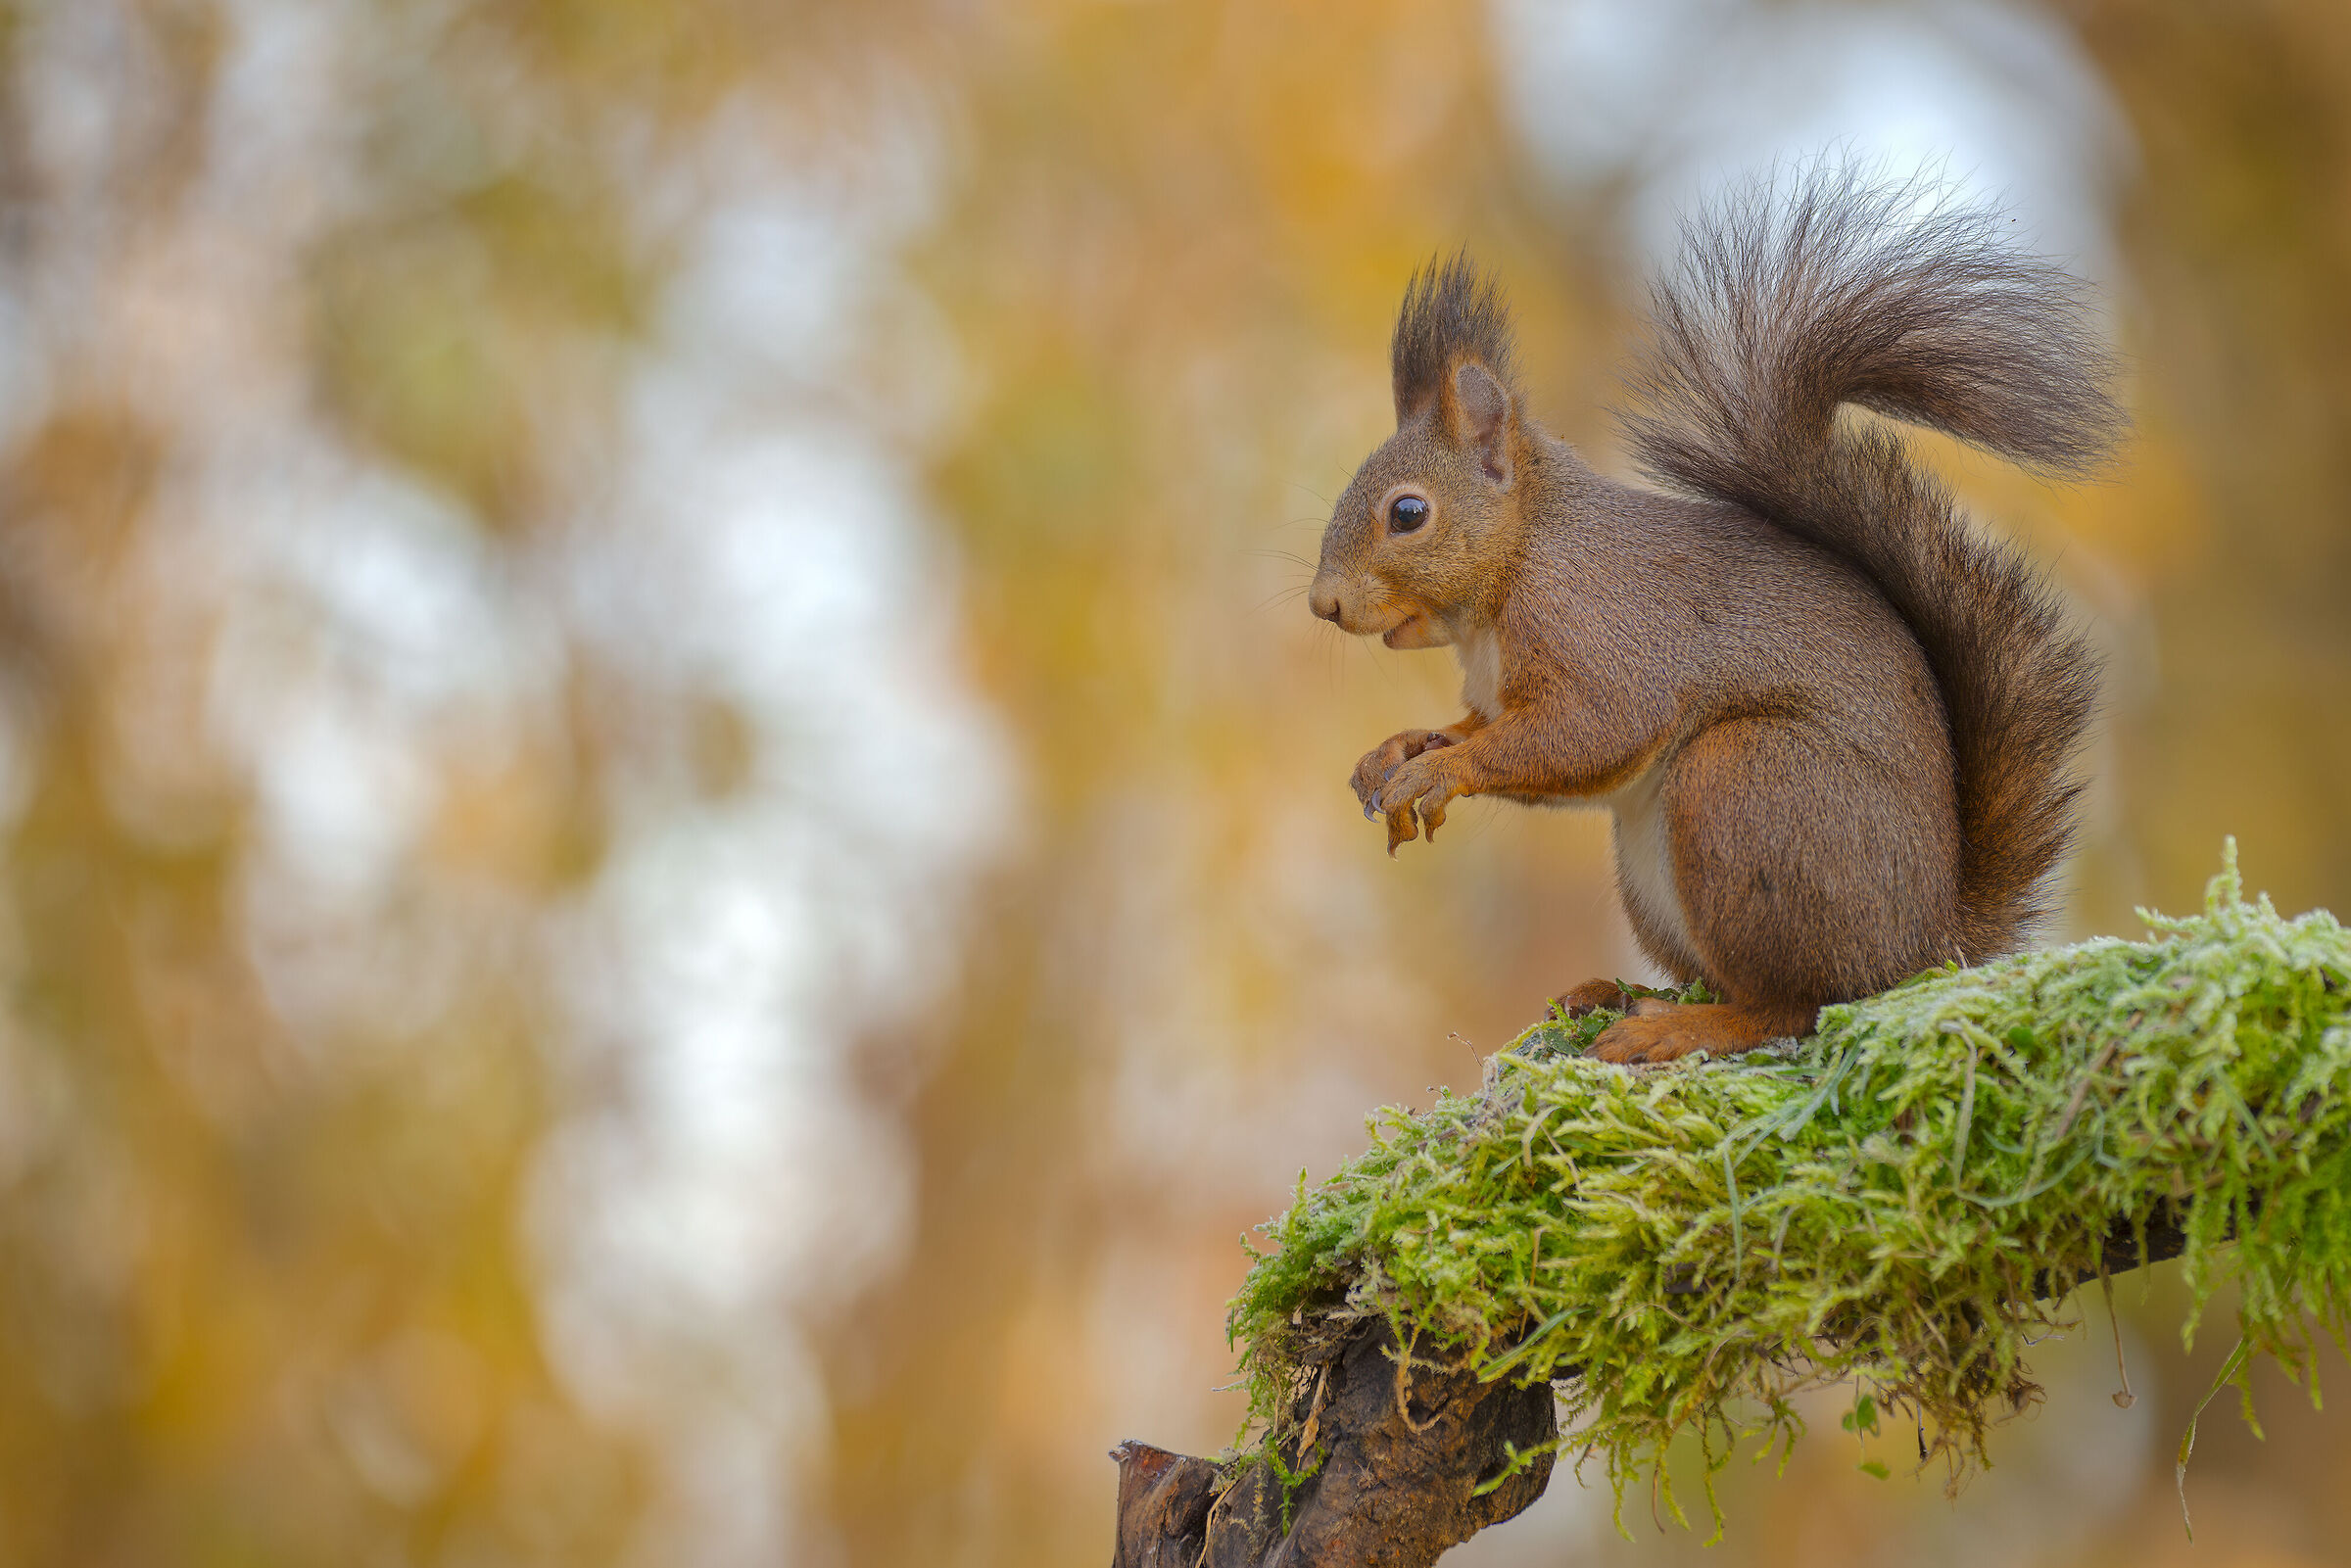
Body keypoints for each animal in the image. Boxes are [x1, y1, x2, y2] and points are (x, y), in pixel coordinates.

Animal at [1307, 171, 2123, 1064]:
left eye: (1407, 513)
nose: (1324, 603)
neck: (1516, 565)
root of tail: (1925, 943)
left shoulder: (1600, 628)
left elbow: (1584, 732)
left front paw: (1438, 771)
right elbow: (1480, 726)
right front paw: (1398, 750)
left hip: (1746, 787)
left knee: (1794, 1003)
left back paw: (1678, 1026)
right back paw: (1620, 994)